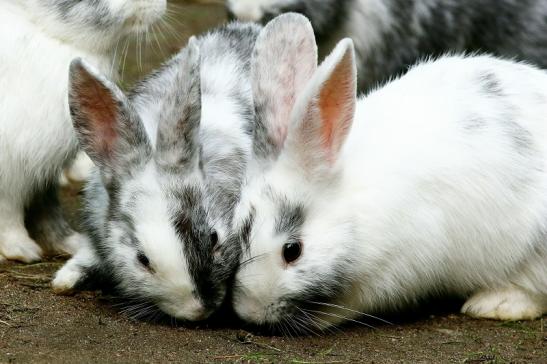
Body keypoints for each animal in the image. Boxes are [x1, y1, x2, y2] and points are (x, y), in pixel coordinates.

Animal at [0, 0, 167, 262]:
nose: (162, 5)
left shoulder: (41, 171)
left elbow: (47, 209)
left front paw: (70, 243)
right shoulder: (11, 169)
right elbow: (8, 215)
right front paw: (22, 250)